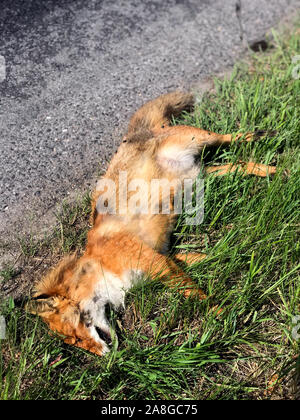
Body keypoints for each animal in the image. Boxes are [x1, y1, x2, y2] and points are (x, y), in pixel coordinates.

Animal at [25, 91, 278, 354]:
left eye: (74, 337)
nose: (103, 356)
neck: (101, 266)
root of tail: (133, 134)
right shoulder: (165, 256)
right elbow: (210, 256)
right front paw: (242, 254)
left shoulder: (155, 262)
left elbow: (194, 293)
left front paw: (221, 313)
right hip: (204, 175)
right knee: (239, 164)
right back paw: (273, 170)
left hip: (202, 139)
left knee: (232, 137)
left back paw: (263, 136)